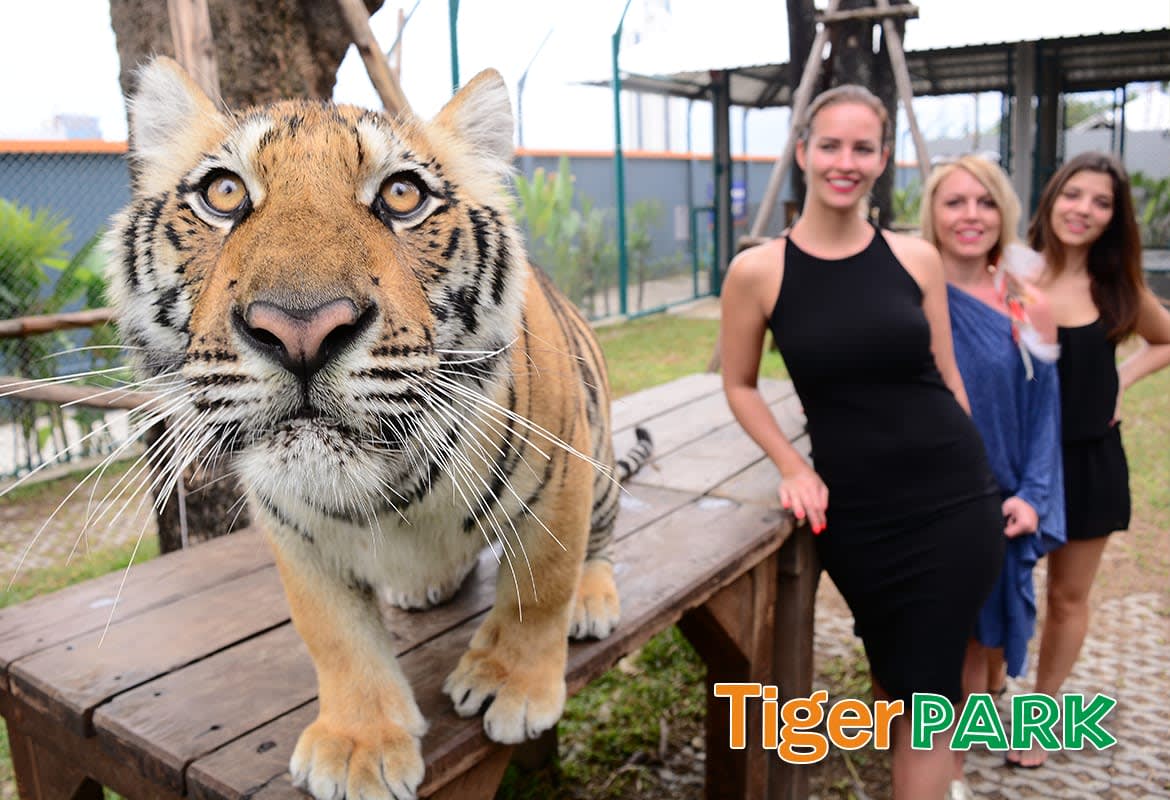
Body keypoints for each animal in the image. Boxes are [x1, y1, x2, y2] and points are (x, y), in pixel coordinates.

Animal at [104, 56, 652, 800]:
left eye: (400, 195)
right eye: (223, 192)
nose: (300, 329)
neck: (389, 486)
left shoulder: (559, 484)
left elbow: (540, 589)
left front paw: (509, 686)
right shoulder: (295, 534)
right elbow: (335, 635)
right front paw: (358, 746)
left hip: (598, 469)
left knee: (596, 544)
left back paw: (590, 601)